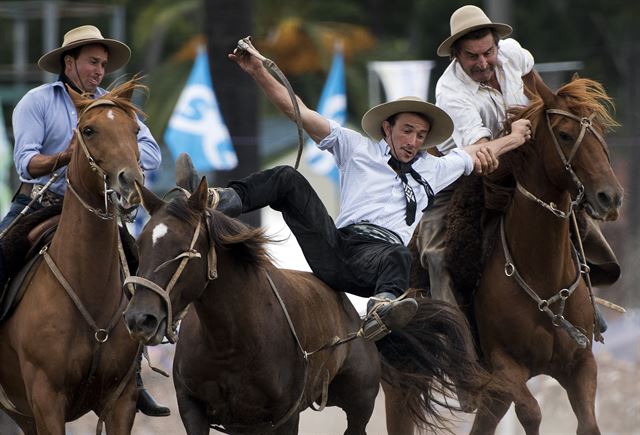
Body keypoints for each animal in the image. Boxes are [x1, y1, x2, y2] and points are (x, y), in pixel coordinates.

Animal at [121, 164, 490, 435]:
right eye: (139, 245)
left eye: (185, 249)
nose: (139, 318)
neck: (232, 341)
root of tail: (356, 320)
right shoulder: (194, 410)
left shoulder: (281, 418)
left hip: (360, 402)